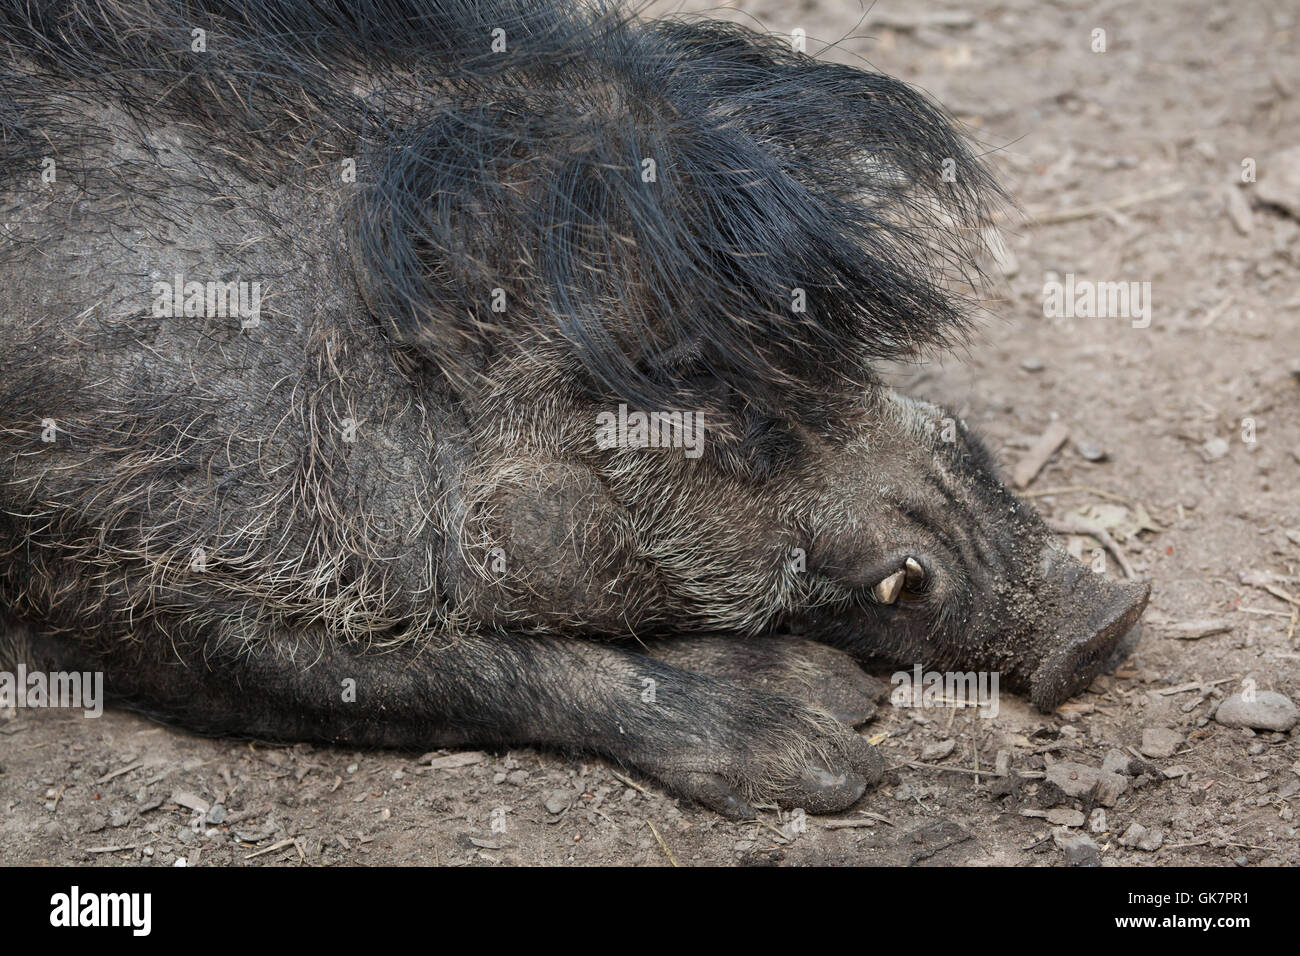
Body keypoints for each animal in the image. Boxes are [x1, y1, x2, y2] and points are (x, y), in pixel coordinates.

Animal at [0, 0, 1148, 817]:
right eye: (689, 388)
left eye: (819, 342)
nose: (1106, 619)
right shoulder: (105, 561)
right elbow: (436, 667)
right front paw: (829, 745)